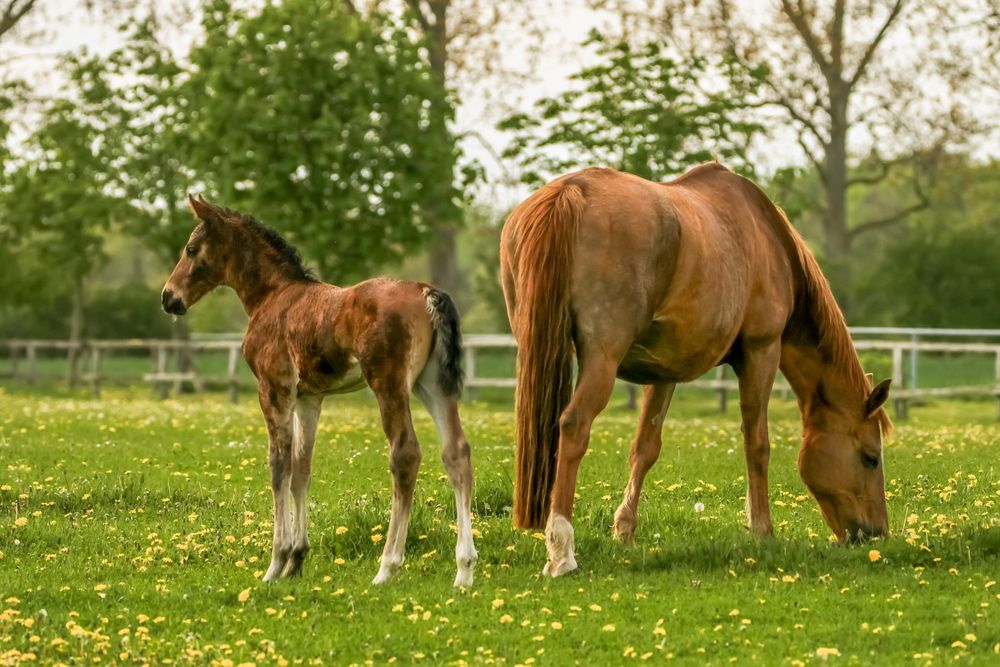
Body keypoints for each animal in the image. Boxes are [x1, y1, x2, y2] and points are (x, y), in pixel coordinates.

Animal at [161, 196, 480, 588]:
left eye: (191, 249)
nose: (169, 297)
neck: (272, 296)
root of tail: (426, 292)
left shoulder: (274, 390)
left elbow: (278, 467)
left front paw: (276, 563)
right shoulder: (308, 399)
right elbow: (302, 469)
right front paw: (297, 560)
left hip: (389, 384)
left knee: (405, 454)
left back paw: (387, 567)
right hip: (433, 385)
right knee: (456, 453)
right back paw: (464, 569)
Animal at [504, 164, 896, 576]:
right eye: (870, 457)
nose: (874, 535)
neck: (768, 239)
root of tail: (572, 191)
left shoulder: (663, 373)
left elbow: (645, 448)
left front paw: (625, 532)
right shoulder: (761, 352)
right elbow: (757, 444)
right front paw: (762, 531)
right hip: (602, 359)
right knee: (574, 426)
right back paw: (562, 550)